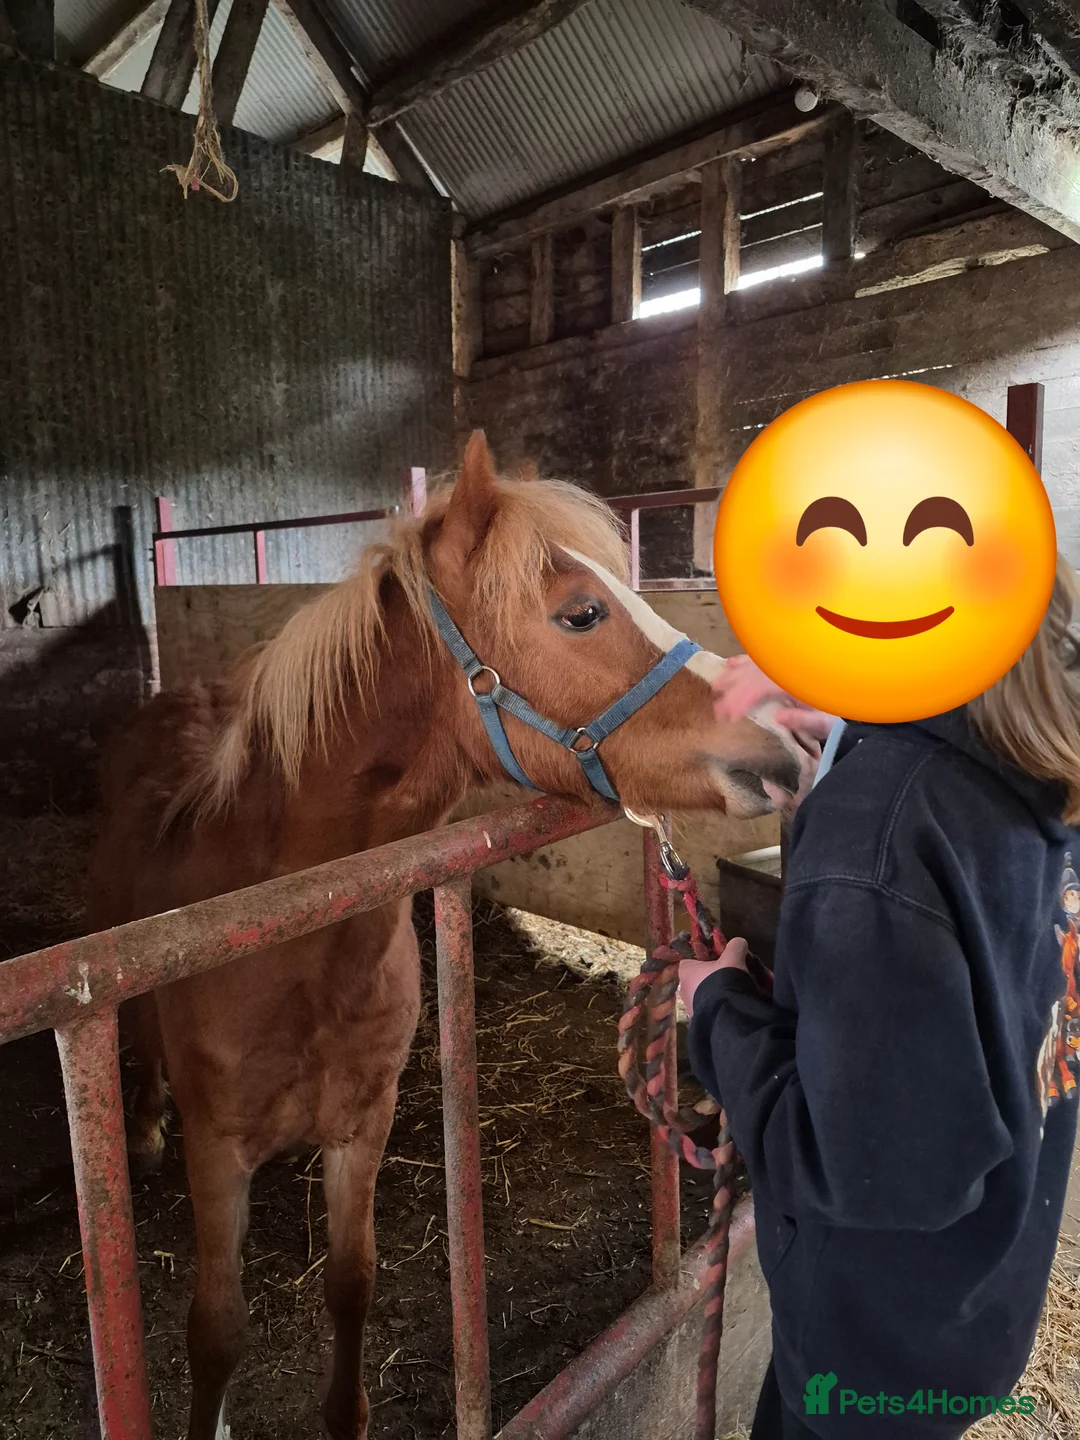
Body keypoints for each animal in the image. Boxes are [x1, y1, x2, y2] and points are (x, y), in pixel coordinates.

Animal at [87, 432, 804, 1440]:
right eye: (582, 612)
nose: (788, 743)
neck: (294, 941)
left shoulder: (366, 1124)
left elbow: (352, 1285)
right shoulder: (218, 1151)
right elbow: (217, 1329)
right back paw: (142, 1125)